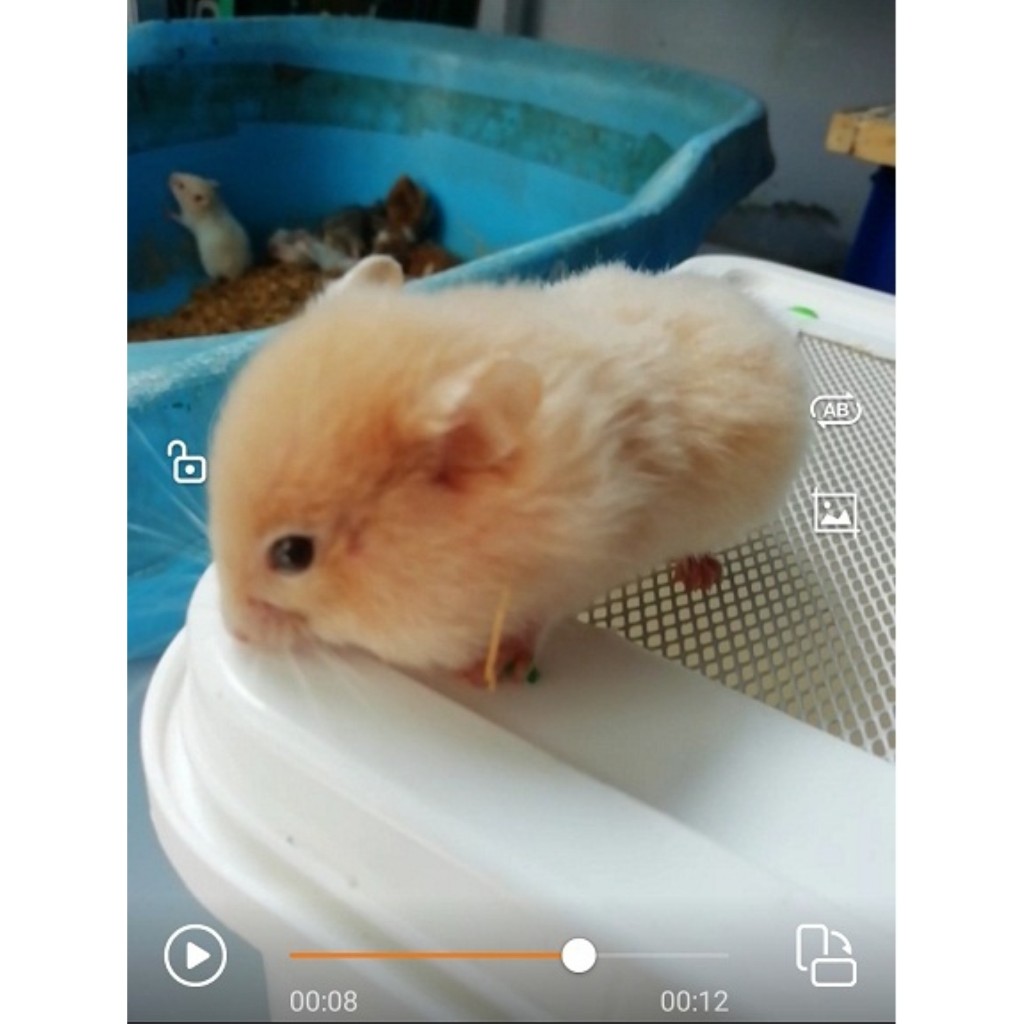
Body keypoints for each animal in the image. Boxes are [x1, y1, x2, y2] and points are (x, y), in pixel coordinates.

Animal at [207, 256, 808, 683]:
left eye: (292, 554)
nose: (233, 632)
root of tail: (746, 304)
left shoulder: (569, 577)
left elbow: (534, 624)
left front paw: (487, 673)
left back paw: (699, 575)